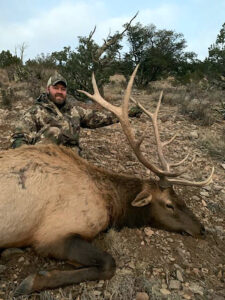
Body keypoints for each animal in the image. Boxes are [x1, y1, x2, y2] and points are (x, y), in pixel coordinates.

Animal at [0, 66, 213, 296]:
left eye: (180, 197)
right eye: (169, 204)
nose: (202, 229)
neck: (110, 203)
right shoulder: (51, 235)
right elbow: (109, 263)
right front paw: (31, 282)